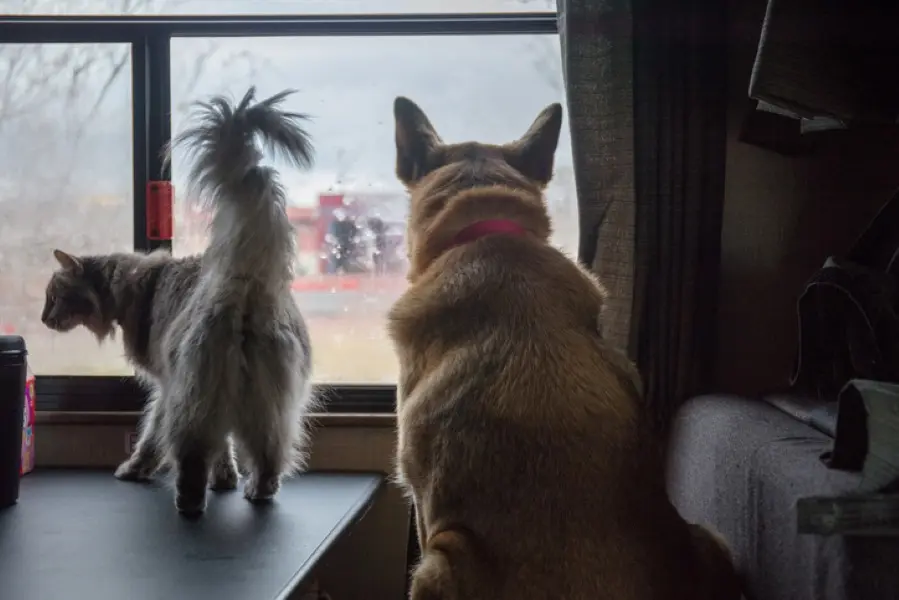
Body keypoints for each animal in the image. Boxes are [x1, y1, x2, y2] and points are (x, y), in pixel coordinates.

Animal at [42, 88, 318, 516]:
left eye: (53, 297)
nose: (43, 319)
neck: (133, 283)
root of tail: (244, 279)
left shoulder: (166, 385)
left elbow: (150, 438)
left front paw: (135, 469)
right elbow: (226, 451)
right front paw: (226, 481)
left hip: (192, 401)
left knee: (190, 457)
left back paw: (188, 503)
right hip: (269, 408)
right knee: (269, 458)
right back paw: (256, 492)